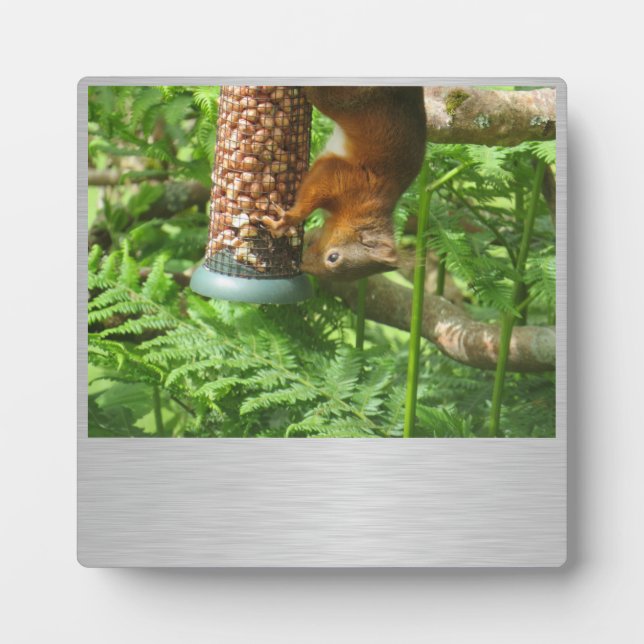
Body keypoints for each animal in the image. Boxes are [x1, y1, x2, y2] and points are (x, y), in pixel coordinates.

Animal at [262, 87, 427, 280]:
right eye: (333, 257)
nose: (300, 265)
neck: (358, 213)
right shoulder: (340, 176)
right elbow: (310, 197)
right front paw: (286, 222)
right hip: (345, 100)